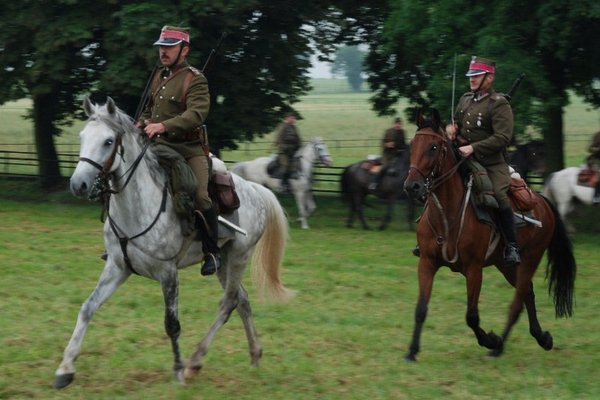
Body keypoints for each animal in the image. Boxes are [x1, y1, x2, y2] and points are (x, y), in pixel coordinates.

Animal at [55, 96, 294, 388]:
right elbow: (88, 308)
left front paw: (179, 370)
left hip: (239, 256)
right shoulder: (117, 267)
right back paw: (255, 356)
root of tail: (255, 189)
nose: (78, 184)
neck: (137, 207)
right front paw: (65, 368)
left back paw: (194, 363)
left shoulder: (168, 272)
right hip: (224, 261)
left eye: (108, 141)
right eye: (82, 137)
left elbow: (172, 324)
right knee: (242, 301)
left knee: (228, 303)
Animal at [400, 108, 576, 360]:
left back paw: (500, 345)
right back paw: (540, 338)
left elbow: (472, 316)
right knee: (527, 294)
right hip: (506, 265)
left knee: (518, 301)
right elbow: (421, 309)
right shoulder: (427, 262)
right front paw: (412, 351)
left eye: (433, 147)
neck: (447, 215)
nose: (411, 186)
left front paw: (490, 339)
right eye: (413, 144)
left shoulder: (474, 269)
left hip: (529, 260)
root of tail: (542, 200)